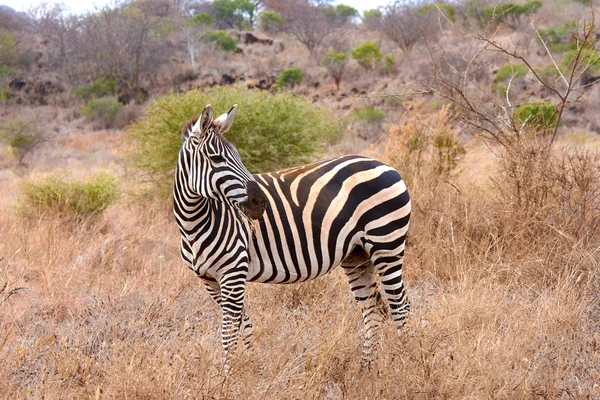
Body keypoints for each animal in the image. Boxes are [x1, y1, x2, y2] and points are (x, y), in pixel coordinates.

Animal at [171, 104, 410, 368]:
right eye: (216, 159)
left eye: (238, 156)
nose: (260, 202)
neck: (194, 223)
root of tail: (386, 165)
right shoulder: (211, 280)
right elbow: (244, 326)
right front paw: (250, 367)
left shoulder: (233, 273)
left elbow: (228, 334)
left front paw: (230, 374)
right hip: (356, 256)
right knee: (372, 309)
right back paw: (367, 369)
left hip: (386, 244)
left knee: (401, 306)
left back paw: (405, 363)